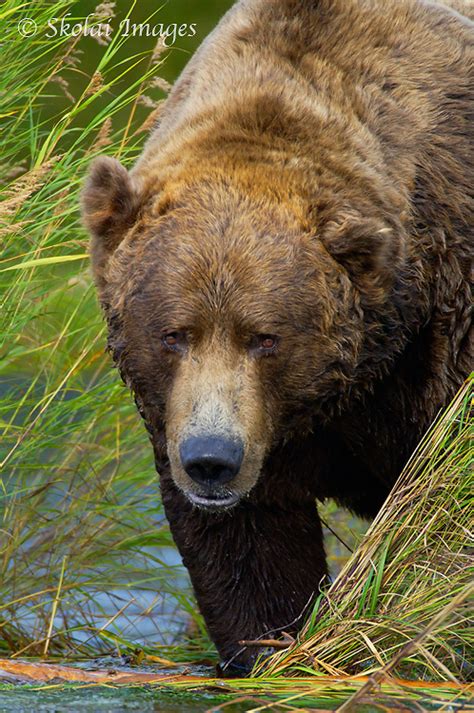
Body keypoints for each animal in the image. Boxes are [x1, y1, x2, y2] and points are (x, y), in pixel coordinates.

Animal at [82, 0, 474, 676]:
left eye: (264, 337)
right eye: (174, 334)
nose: (211, 459)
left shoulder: (443, 335)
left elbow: (441, 511)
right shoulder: (208, 427)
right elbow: (251, 554)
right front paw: (270, 651)